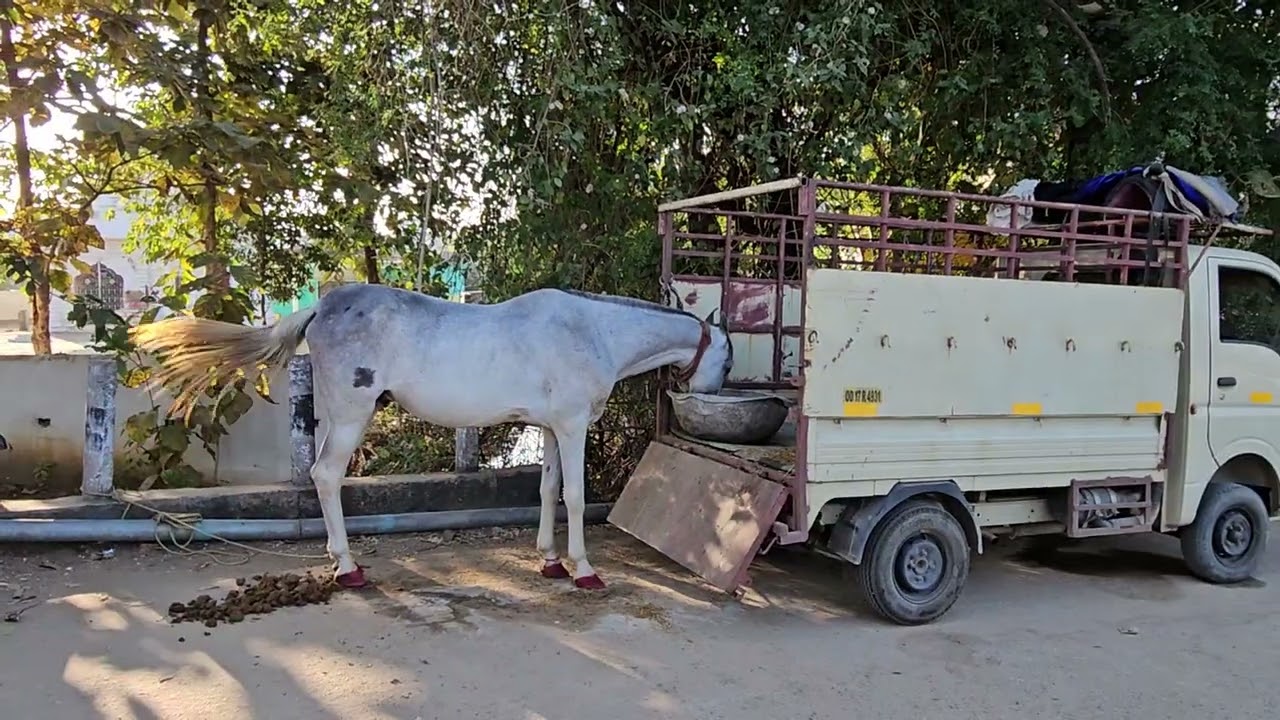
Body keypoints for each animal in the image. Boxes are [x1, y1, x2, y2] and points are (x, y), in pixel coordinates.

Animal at [129, 284, 734, 590]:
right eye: (727, 360)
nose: (715, 390)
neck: (593, 330)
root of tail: (321, 306)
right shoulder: (571, 425)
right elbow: (577, 498)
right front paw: (584, 570)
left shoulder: (548, 427)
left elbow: (546, 492)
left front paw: (549, 561)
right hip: (351, 416)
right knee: (326, 476)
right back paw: (347, 568)